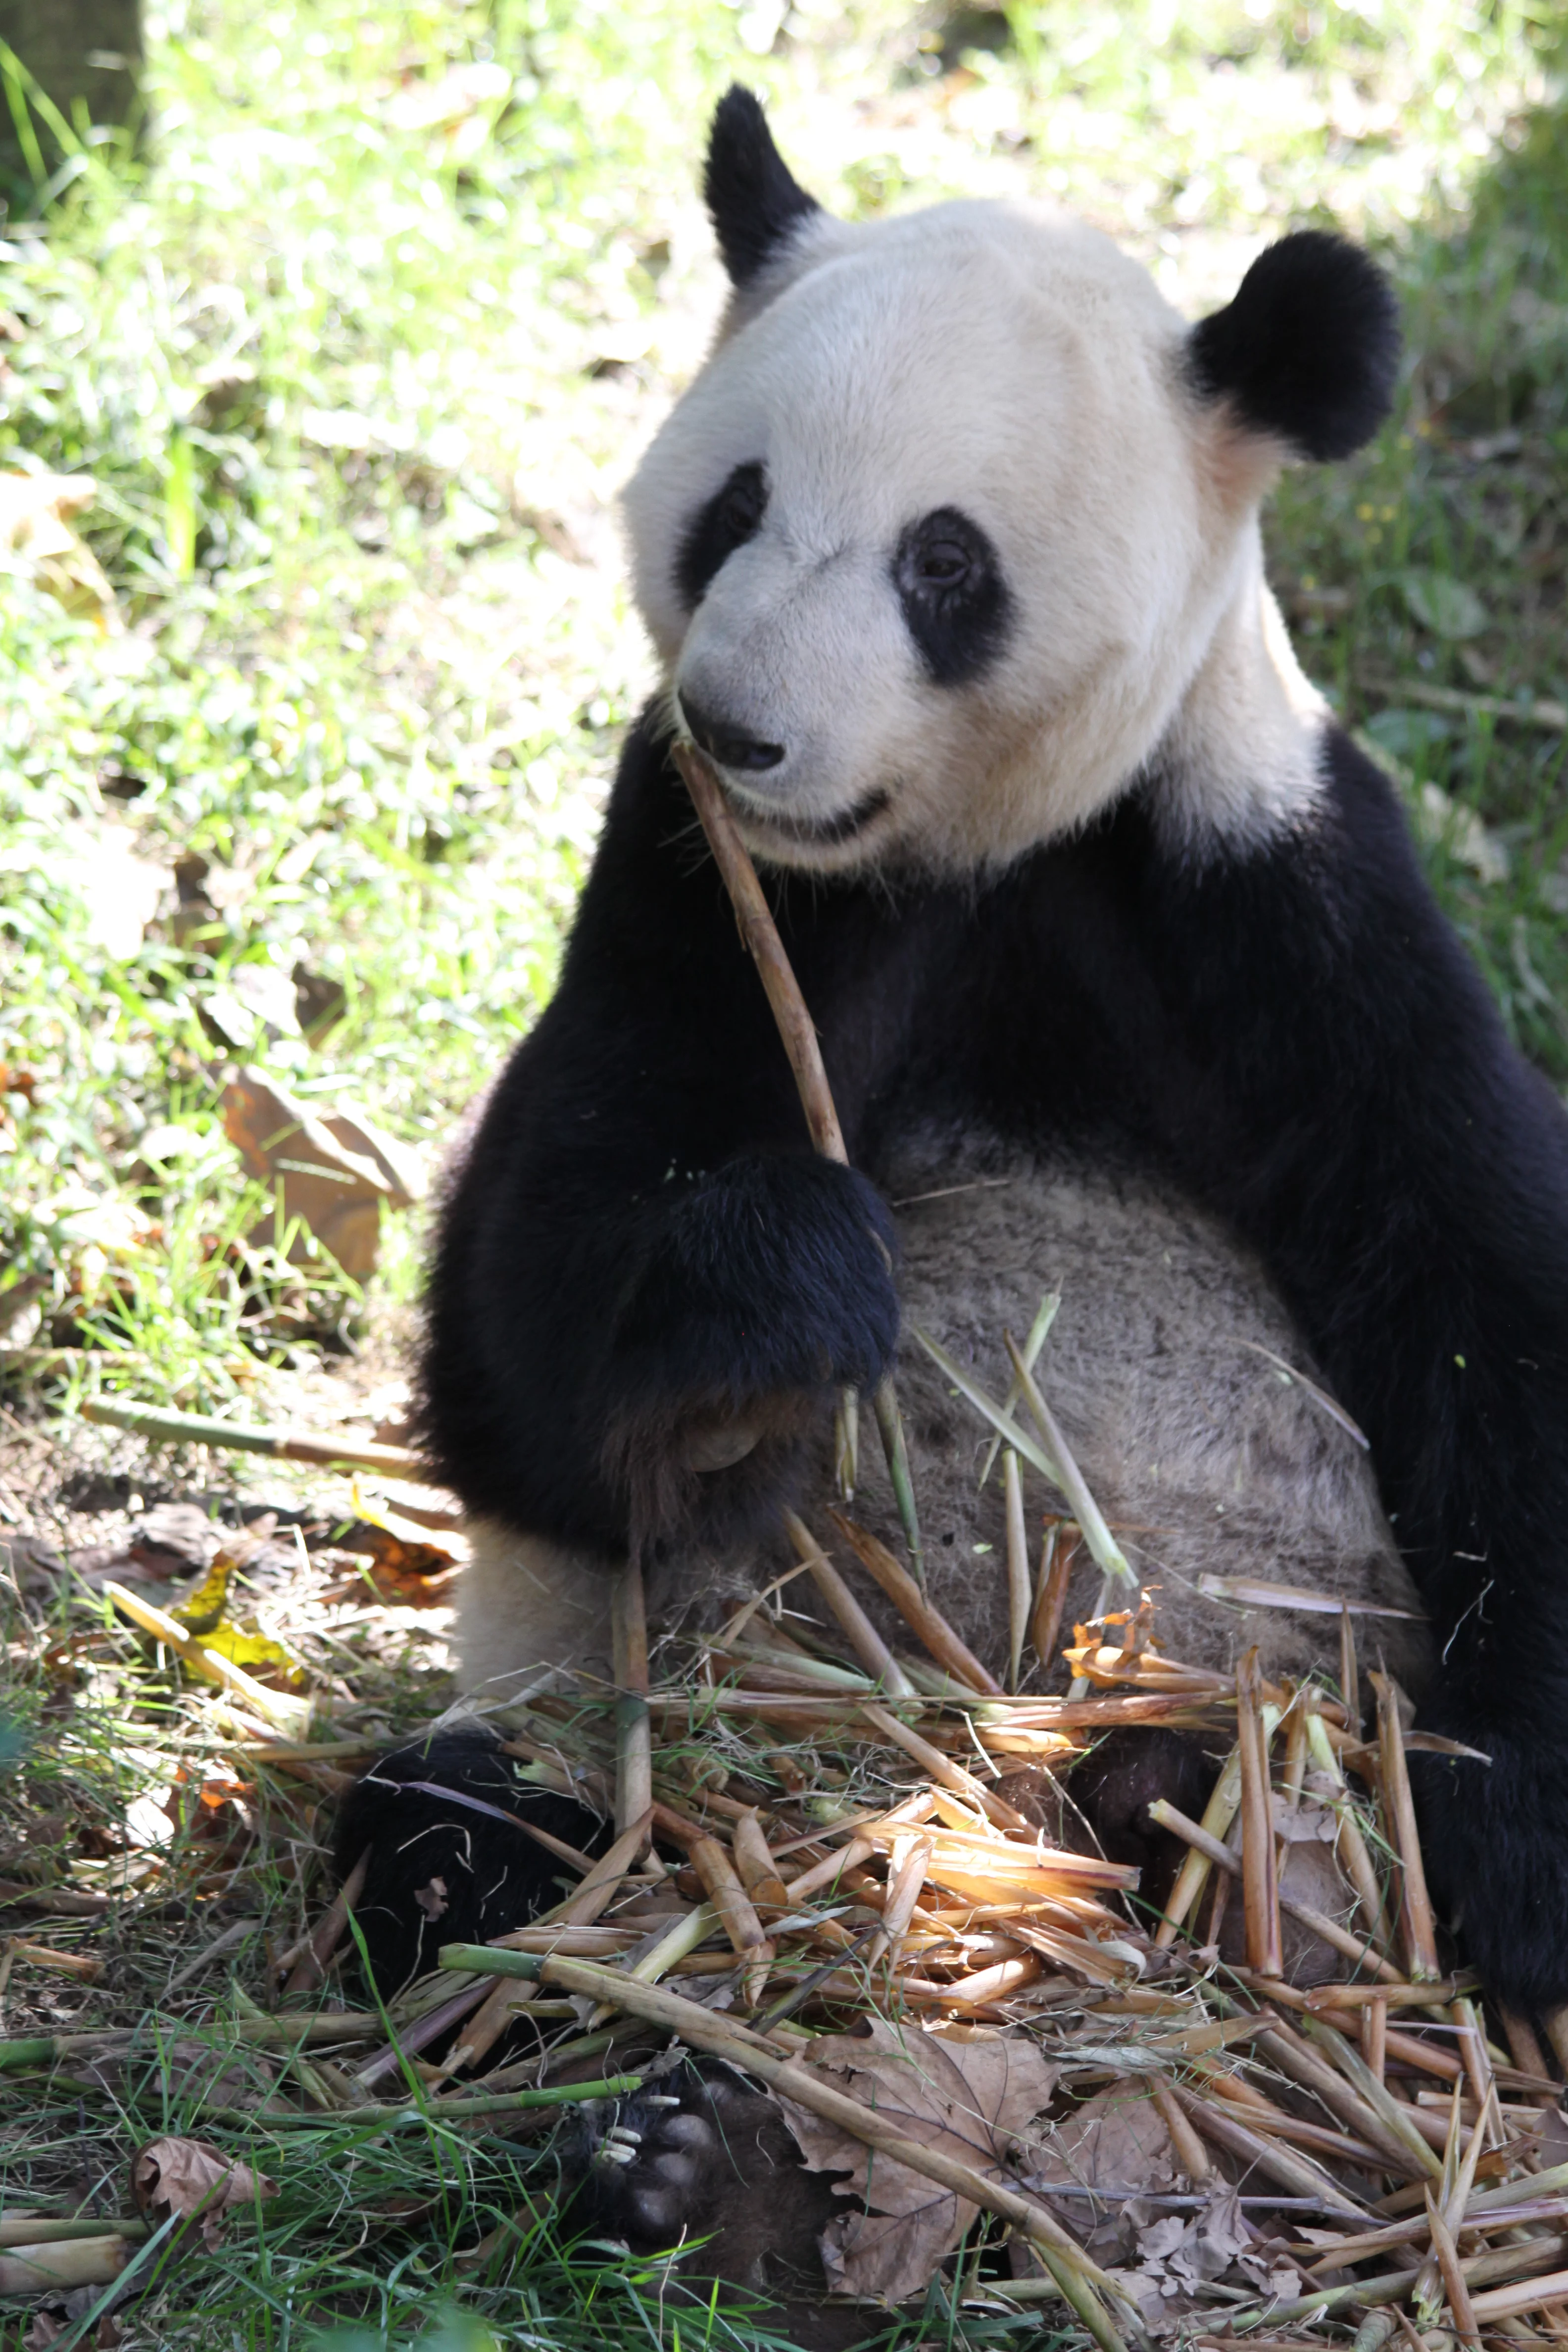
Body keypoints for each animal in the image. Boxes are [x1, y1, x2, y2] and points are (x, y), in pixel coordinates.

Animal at [338, 83, 1568, 2297]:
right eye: (733, 505)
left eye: (942, 560)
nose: (741, 722)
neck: (960, 853)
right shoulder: (691, 885)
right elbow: (515, 1351)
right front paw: (783, 1288)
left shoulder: (1268, 878)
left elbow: (1487, 1293)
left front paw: (1506, 1856)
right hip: (606, 1734)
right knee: (471, 1854)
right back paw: (682, 2162)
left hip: (1253, 1673)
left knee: (1220, 1787)